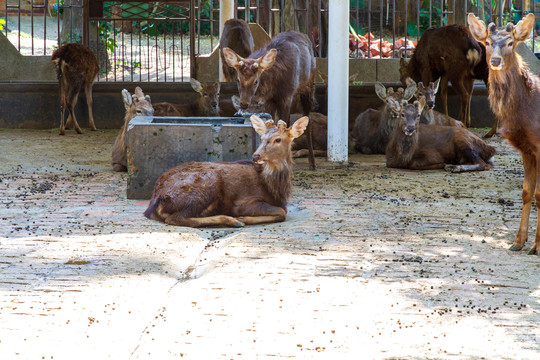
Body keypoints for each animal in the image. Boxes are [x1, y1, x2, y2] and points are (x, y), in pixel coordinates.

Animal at [143, 115, 308, 228]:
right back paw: (231, 220)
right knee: (175, 218)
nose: (256, 156)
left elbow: (283, 211)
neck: (275, 188)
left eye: (278, 139)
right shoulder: (243, 203)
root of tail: (155, 202)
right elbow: (282, 212)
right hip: (207, 182)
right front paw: (243, 218)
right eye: (261, 138)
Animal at [221, 29, 318, 169]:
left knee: (307, 120)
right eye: (238, 80)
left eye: (256, 81)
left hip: (308, 86)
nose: (243, 104)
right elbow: (271, 125)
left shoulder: (287, 95)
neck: (274, 86)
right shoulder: (269, 100)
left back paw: (312, 163)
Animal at [466, 13, 540, 256]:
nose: (496, 61)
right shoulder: (526, 150)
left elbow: (538, 195)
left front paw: (536, 247)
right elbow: (526, 193)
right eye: (488, 42)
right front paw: (518, 242)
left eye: (510, 43)